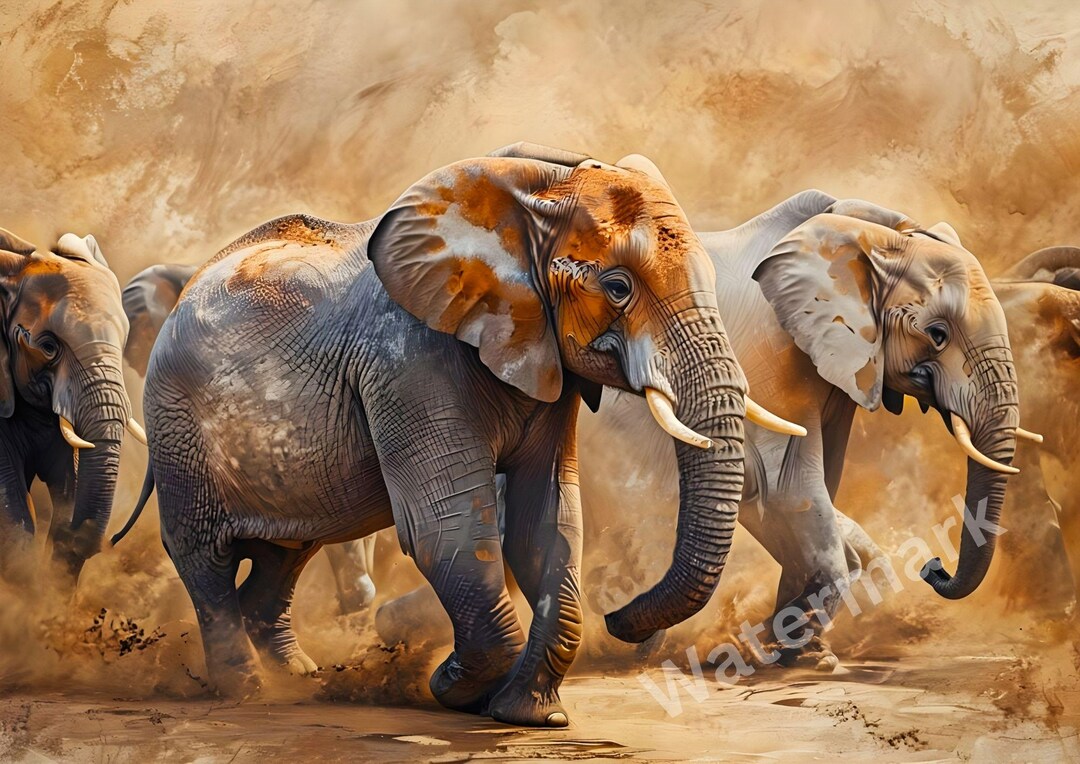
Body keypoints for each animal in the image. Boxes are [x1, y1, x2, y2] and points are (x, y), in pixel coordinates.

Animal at [581, 190, 1032, 668]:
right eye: (938, 334)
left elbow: (815, 491)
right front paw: (794, 652)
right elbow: (787, 490)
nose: (933, 566)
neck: (864, 236)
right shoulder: (768, 357)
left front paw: (807, 649)